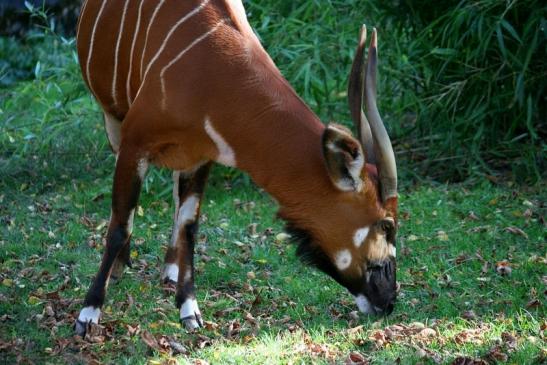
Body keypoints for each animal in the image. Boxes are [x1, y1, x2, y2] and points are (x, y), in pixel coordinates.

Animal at [75, 0, 398, 336]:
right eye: (387, 225)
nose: (389, 299)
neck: (215, 75)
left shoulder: (200, 157)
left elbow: (189, 226)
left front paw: (189, 310)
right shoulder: (135, 143)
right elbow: (120, 224)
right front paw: (88, 314)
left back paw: (170, 271)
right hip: (113, 118)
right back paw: (119, 269)